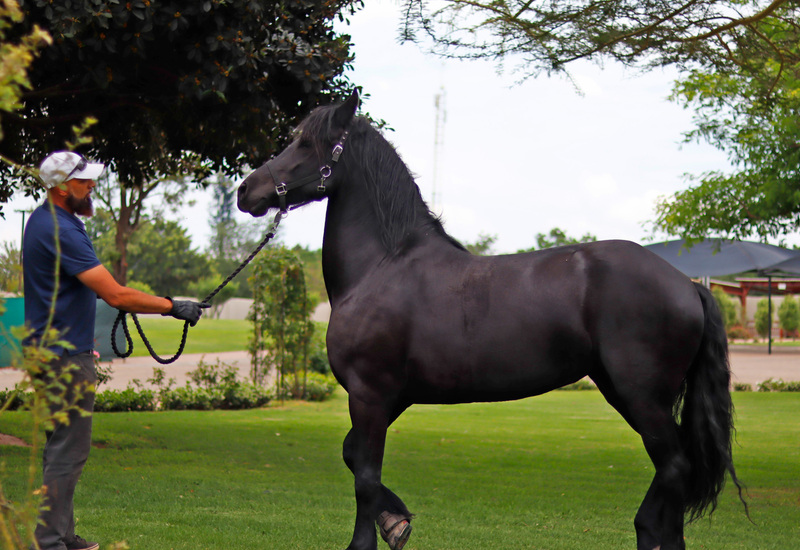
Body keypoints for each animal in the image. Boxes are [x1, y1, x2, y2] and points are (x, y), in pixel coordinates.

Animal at [237, 90, 745, 550]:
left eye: (307, 144)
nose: (246, 191)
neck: (383, 266)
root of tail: (687, 285)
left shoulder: (369, 394)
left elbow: (364, 475)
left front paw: (372, 537)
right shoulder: (393, 396)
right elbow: (352, 457)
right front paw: (396, 523)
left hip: (642, 395)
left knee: (675, 467)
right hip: (624, 391)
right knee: (673, 471)